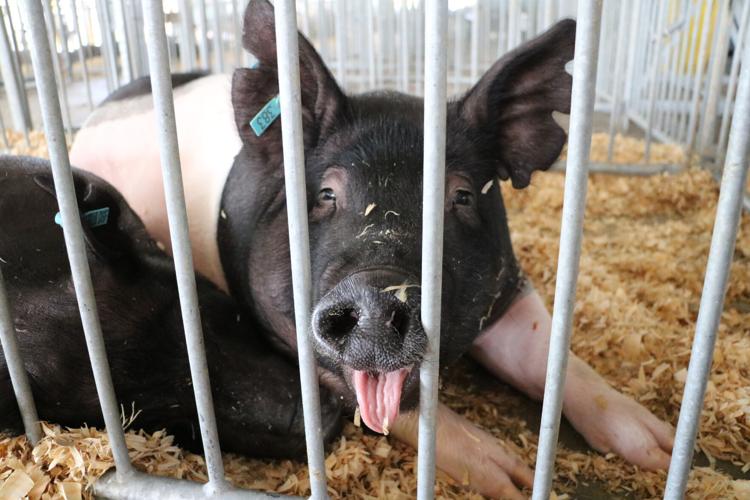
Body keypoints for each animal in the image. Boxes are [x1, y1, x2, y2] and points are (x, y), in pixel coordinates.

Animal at [70, 1, 675, 497]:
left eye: (460, 195)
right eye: (325, 194)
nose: (376, 294)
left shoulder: (507, 287)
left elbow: (548, 357)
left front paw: (662, 450)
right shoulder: (284, 328)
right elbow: (390, 407)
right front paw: (511, 478)